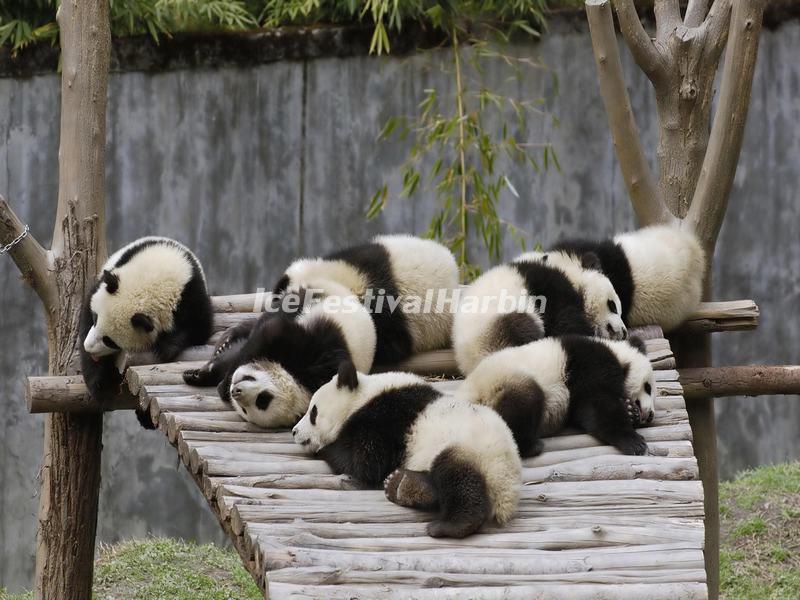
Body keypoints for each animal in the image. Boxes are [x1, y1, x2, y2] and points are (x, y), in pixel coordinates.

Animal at [80, 236, 213, 401]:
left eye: (109, 341)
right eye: (95, 318)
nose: (89, 347)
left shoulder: (191, 294)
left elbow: (199, 329)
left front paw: (167, 347)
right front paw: (99, 383)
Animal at [184, 289, 377, 428]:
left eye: (260, 402)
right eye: (264, 398)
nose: (235, 391)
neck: (299, 380)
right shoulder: (312, 352)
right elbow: (268, 334)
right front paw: (207, 376)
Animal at [292, 361, 521, 538]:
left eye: (313, 413)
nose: (294, 432)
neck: (363, 396)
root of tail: (507, 490)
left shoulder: (384, 419)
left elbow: (365, 461)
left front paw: (325, 449)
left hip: (473, 450)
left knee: (458, 476)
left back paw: (448, 525)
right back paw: (402, 485)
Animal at [452, 253, 627, 375]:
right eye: (613, 306)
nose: (624, 332)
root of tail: (469, 362)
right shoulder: (550, 288)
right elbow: (566, 321)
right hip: (493, 327)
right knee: (522, 328)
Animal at [457, 335, 655, 458]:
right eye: (648, 387)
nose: (650, 414)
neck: (618, 355)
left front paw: (630, 411)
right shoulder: (590, 365)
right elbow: (597, 406)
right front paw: (634, 442)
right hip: (502, 383)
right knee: (523, 404)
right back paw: (531, 446)